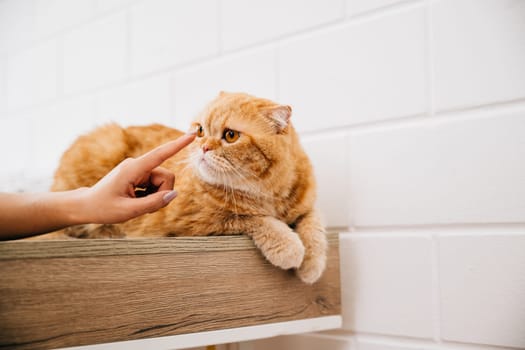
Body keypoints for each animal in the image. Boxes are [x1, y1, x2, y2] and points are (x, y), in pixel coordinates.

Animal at [50, 92, 328, 284]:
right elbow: (257, 220)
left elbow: (314, 227)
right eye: (200, 131)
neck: (267, 192)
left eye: (230, 135)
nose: (203, 147)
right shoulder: (199, 222)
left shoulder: (307, 207)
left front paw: (312, 265)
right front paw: (290, 248)